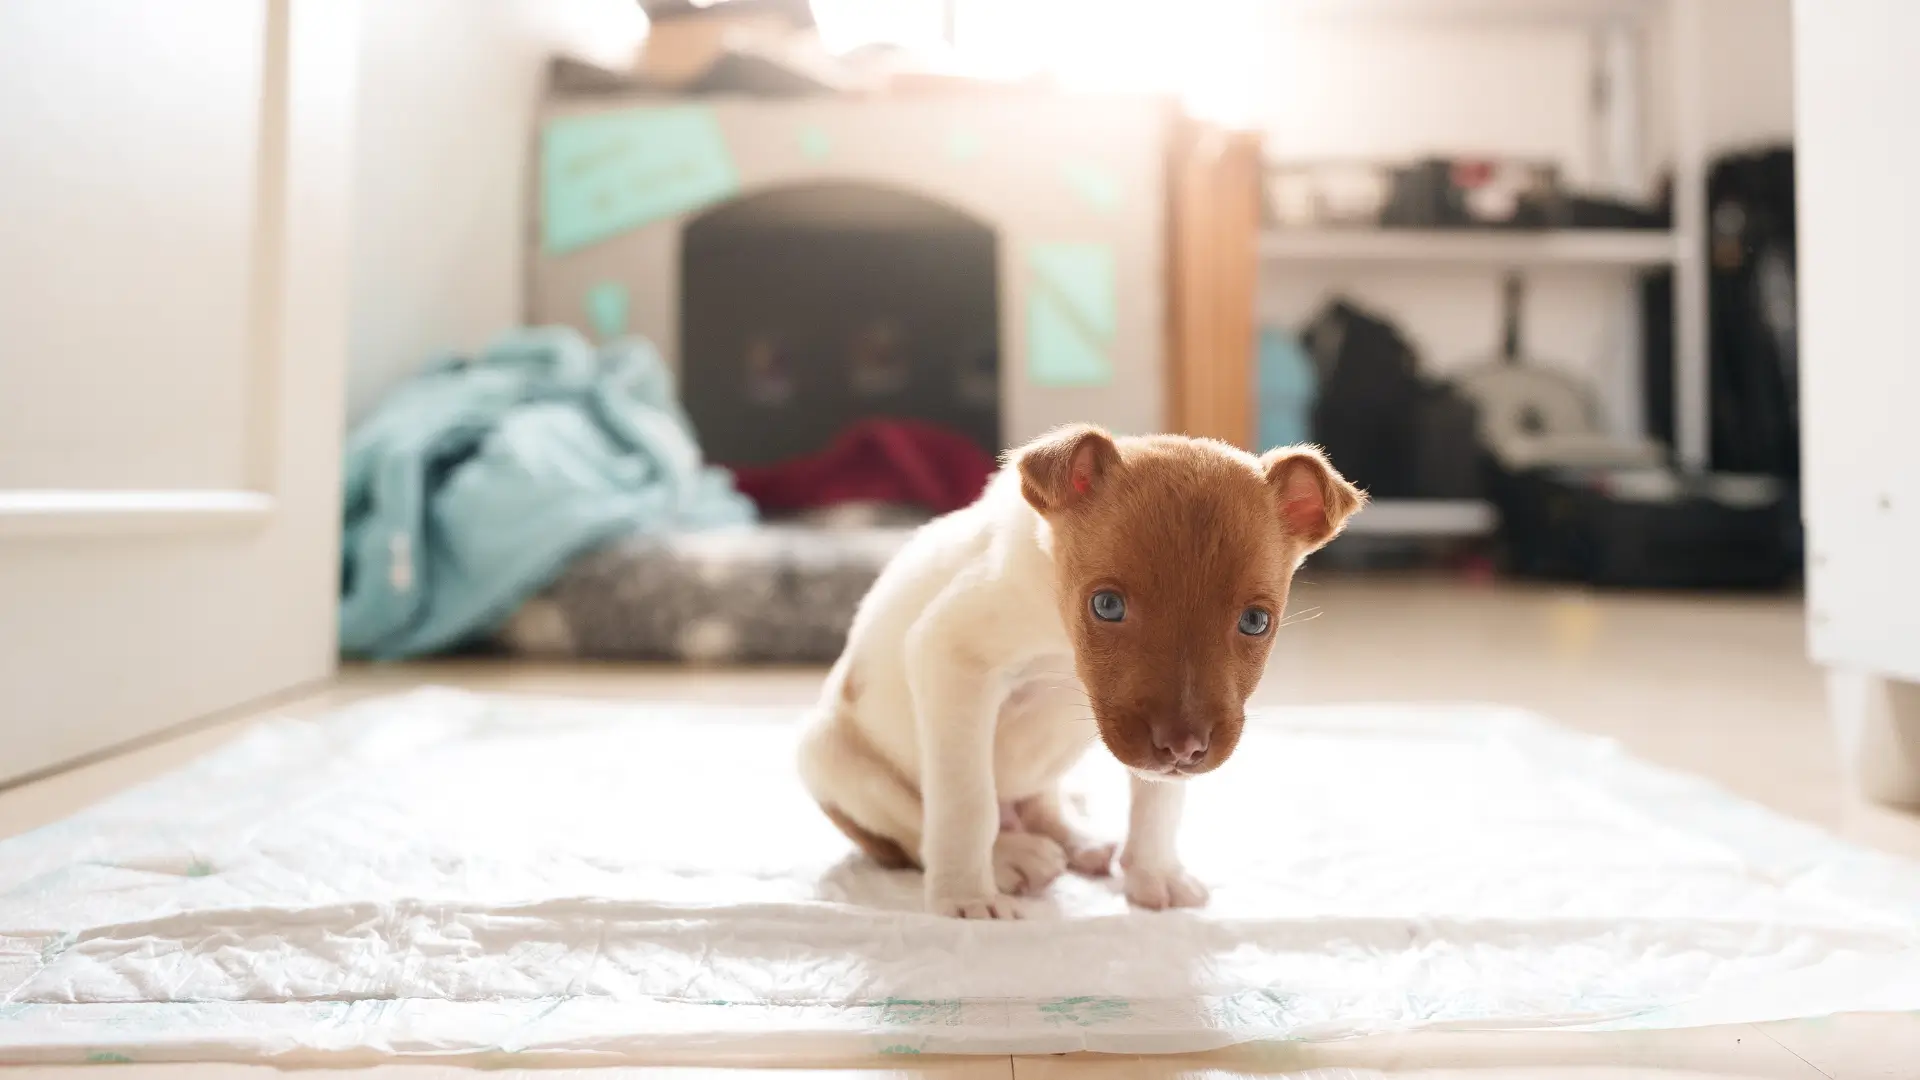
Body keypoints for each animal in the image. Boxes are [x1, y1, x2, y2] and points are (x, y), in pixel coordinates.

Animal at [794, 424, 1367, 910]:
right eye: (1107, 606)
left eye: (1255, 621)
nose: (1183, 748)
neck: (1059, 628)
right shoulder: (951, 658)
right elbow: (966, 803)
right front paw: (965, 896)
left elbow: (1159, 800)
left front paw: (1154, 873)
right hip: (834, 761)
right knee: (915, 831)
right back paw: (1009, 859)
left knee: (1042, 803)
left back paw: (1078, 840)